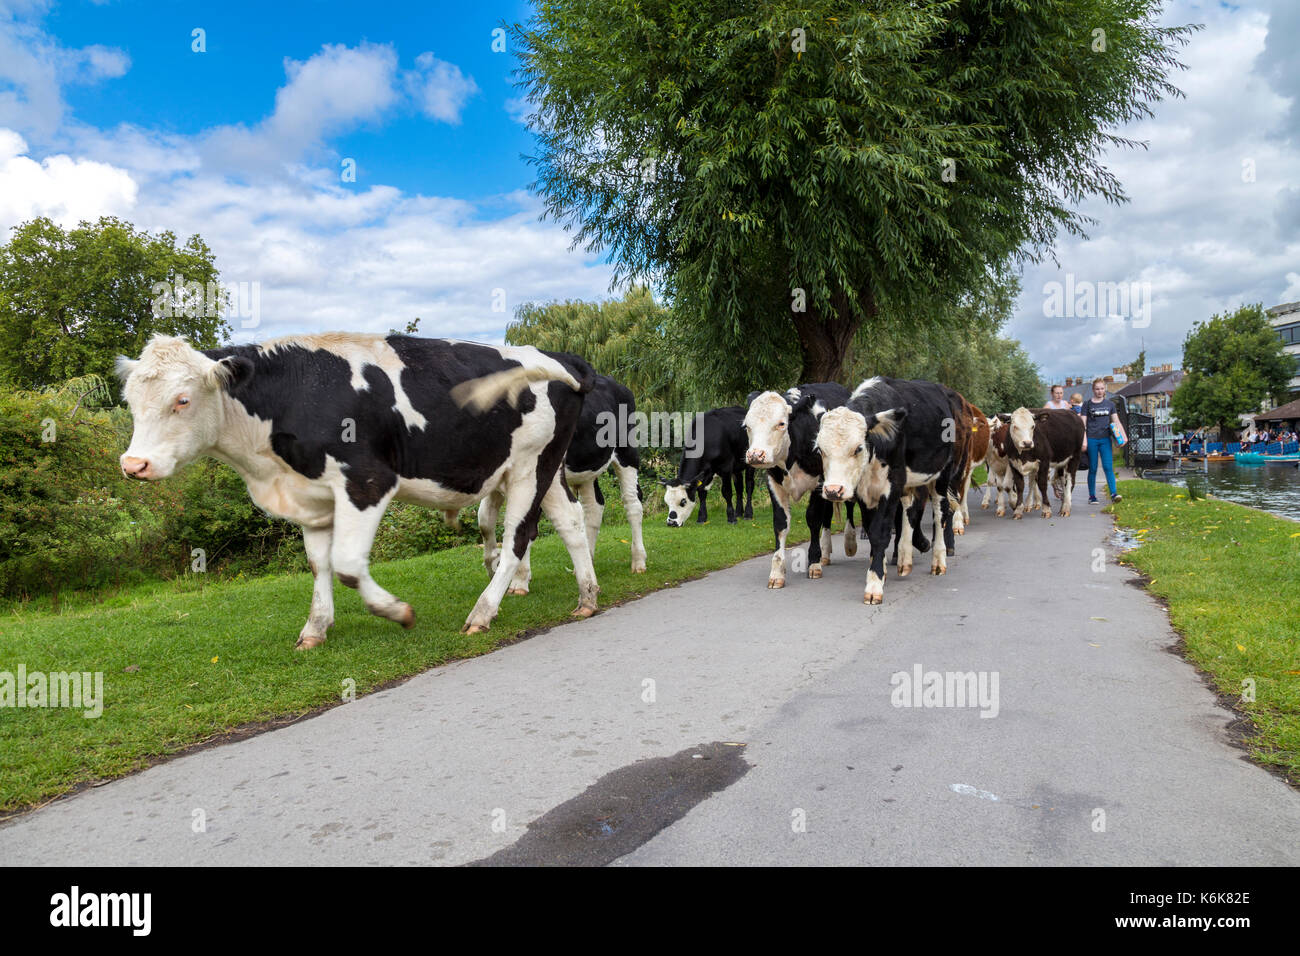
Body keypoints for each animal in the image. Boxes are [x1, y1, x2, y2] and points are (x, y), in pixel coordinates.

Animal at [118, 330, 598, 650]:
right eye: (131, 403)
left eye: (182, 400)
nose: (133, 464)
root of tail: (557, 356)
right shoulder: (312, 496)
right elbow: (319, 564)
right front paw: (315, 629)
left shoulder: (367, 482)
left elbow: (347, 564)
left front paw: (397, 611)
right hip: (545, 468)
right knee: (571, 522)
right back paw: (587, 596)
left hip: (529, 468)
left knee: (518, 537)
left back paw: (482, 612)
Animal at [480, 369, 647, 598]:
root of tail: (614, 382)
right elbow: (484, 521)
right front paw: (493, 565)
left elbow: (526, 527)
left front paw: (519, 580)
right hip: (588, 467)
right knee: (594, 506)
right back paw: (586, 563)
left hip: (627, 453)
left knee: (632, 504)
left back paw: (638, 561)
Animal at [743, 385, 863, 587]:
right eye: (747, 426)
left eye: (781, 424)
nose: (755, 455)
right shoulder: (774, 483)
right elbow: (780, 523)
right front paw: (777, 572)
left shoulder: (819, 483)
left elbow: (813, 518)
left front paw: (814, 563)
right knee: (827, 516)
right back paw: (826, 551)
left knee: (847, 506)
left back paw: (849, 543)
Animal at [816, 377, 961, 600]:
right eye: (821, 450)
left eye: (858, 448)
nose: (833, 490)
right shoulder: (863, 492)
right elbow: (871, 529)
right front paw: (880, 569)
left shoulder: (892, 486)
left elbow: (880, 531)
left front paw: (874, 584)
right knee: (911, 510)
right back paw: (905, 557)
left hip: (942, 474)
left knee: (940, 513)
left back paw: (938, 561)